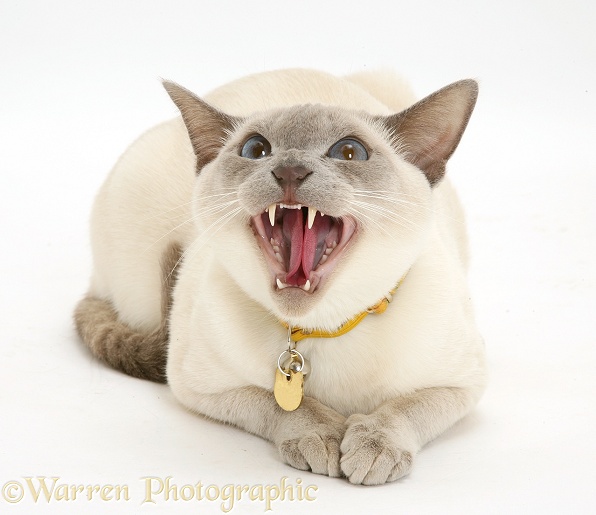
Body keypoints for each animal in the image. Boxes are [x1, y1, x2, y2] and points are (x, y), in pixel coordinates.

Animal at [74, 67, 486, 484]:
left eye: (349, 152)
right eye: (256, 149)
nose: (290, 170)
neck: (323, 327)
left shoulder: (461, 385)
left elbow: (403, 409)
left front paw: (373, 447)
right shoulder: (199, 385)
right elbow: (277, 404)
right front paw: (322, 435)